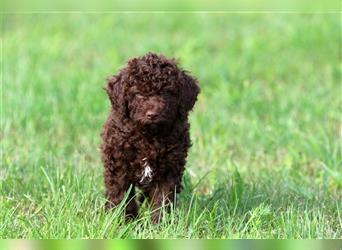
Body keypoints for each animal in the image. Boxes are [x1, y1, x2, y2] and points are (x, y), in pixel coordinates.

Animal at [100, 51, 199, 222]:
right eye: (138, 93)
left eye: (167, 92)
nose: (152, 114)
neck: (149, 136)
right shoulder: (119, 165)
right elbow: (122, 196)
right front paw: (124, 222)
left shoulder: (169, 169)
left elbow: (162, 200)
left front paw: (160, 224)